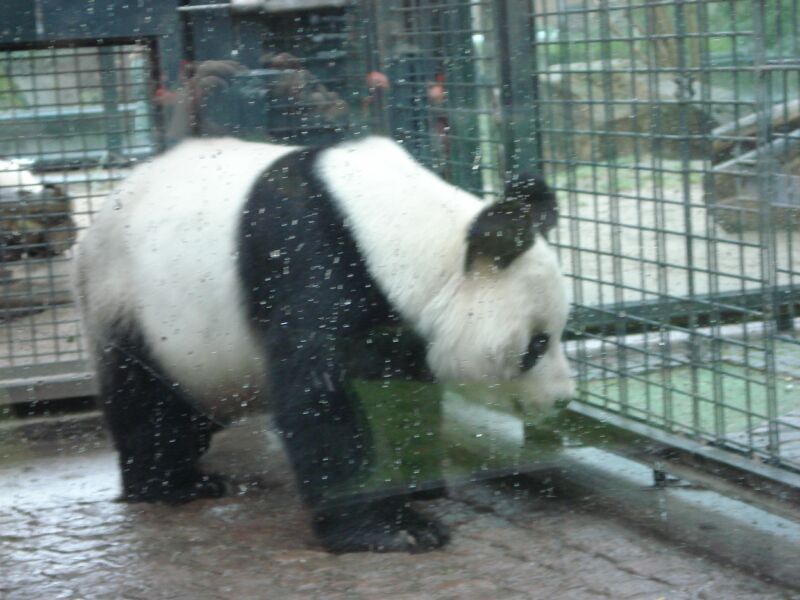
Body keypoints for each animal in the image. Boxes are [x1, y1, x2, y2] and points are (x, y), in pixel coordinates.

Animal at [74, 135, 574, 553]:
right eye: (536, 345)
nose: (563, 399)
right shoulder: (315, 261)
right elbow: (321, 398)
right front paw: (389, 527)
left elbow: (400, 392)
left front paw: (419, 484)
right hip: (134, 305)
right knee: (149, 403)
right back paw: (172, 484)